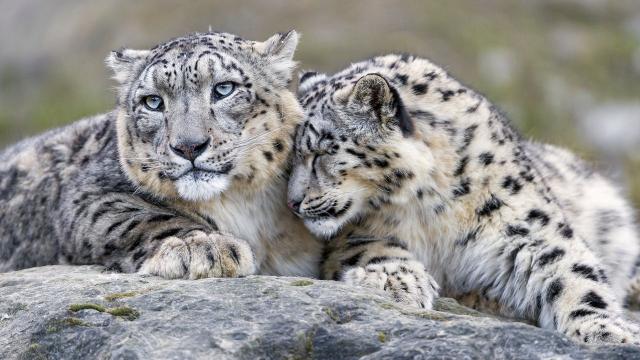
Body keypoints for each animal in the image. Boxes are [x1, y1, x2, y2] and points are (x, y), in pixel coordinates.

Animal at [0, 30, 322, 278]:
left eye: (224, 88)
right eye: (153, 102)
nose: (189, 146)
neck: (244, 208)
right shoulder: (87, 194)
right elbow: (140, 217)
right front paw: (204, 247)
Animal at [288, 54, 640, 344]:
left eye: (319, 152)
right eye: (289, 159)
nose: (293, 203)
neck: (430, 207)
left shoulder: (530, 226)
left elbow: (574, 273)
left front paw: (607, 330)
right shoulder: (353, 234)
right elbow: (372, 247)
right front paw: (395, 282)